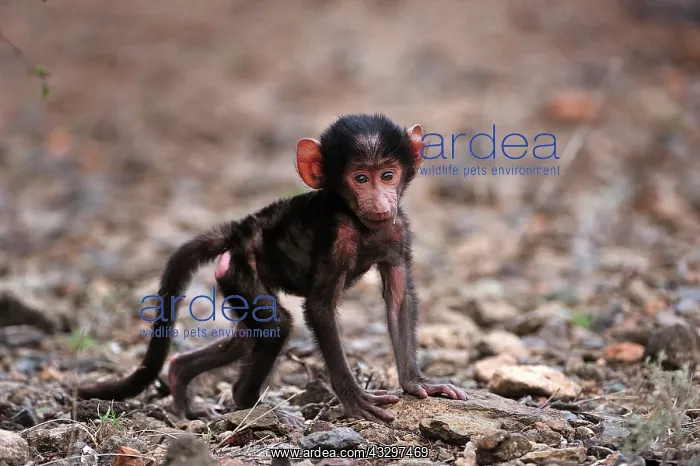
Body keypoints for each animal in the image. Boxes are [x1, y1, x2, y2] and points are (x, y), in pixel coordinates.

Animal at [77, 113, 468, 426]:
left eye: (387, 175)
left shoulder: (397, 230)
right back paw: (250, 404)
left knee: (246, 337)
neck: (360, 222)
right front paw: (355, 399)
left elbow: (399, 301)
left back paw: (181, 377)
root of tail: (239, 230)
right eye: (360, 179)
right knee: (276, 326)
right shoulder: (337, 235)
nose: (381, 202)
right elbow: (320, 308)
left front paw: (416, 383)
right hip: (240, 272)